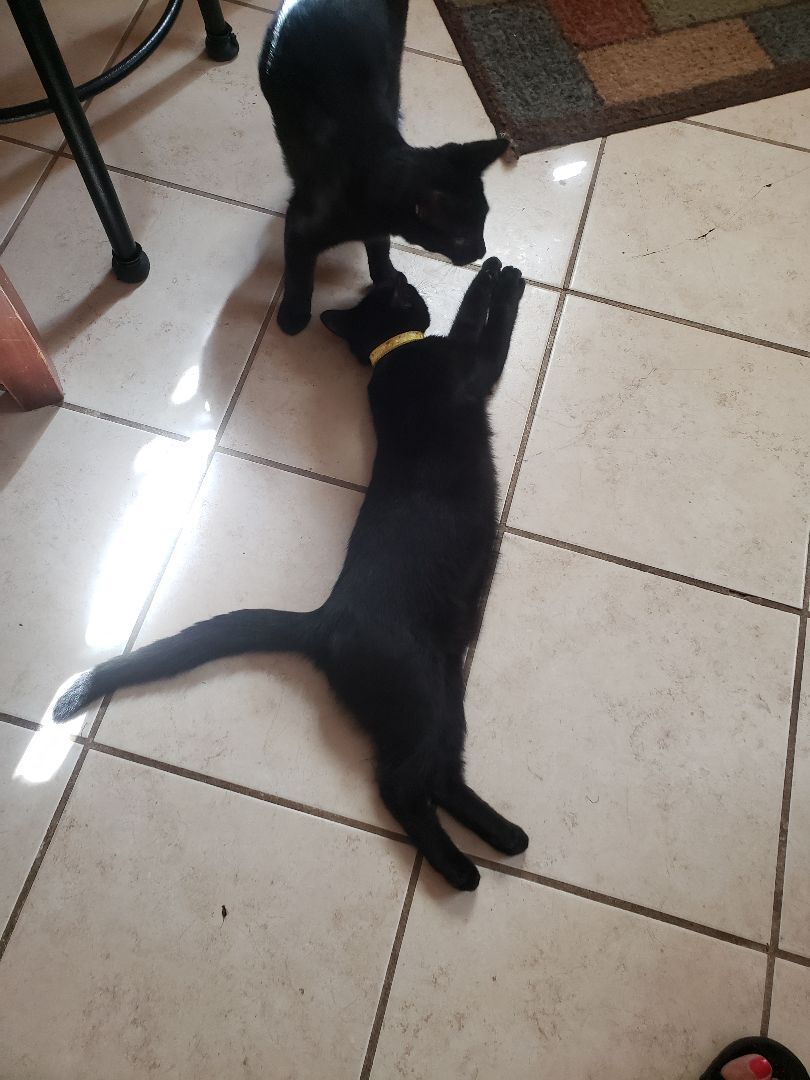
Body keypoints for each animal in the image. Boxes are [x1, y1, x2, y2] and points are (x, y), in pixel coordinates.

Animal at [53, 258, 529, 891]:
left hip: (446, 696)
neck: (392, 357)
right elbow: (482, 322)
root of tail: (324, 620)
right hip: (422, 694)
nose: (409, 279)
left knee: (438, 776)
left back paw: (506, 836)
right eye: (404, 289)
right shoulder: (471, 365)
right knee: (402, 785)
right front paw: (502, 276)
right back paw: (462, 870)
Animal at [259, 0, 508, 336]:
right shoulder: (301, 223)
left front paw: (386, 279)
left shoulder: (377, 227)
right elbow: (299, 273)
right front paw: (293, 314)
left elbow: (380, 247)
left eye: (483, 221)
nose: (481, 252)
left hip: (395, 58)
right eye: (460, 237)